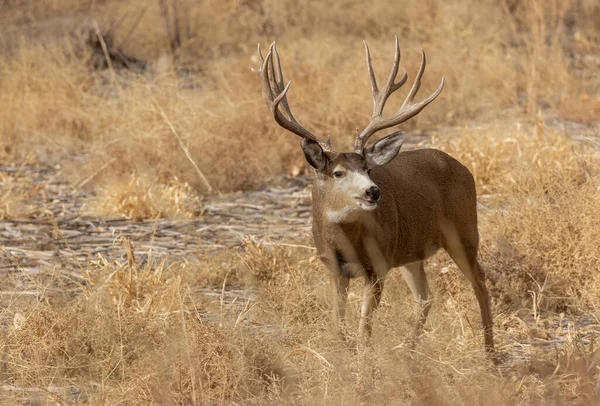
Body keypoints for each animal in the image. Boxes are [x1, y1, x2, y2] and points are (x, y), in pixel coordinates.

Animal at [251, 38, 494, 356]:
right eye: (338, 172)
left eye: (367, 168)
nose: (373, 191)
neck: (345, 243)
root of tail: (463, 167)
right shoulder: (334, 269)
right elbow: (338, 323)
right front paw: (344, 353)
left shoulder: (377, 266)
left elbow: (364, 329)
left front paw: (363, 362)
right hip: (409, 250)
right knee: (425, 297)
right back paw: (409, 352)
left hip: (463, 231)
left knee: (480, 282)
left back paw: (490, 354)